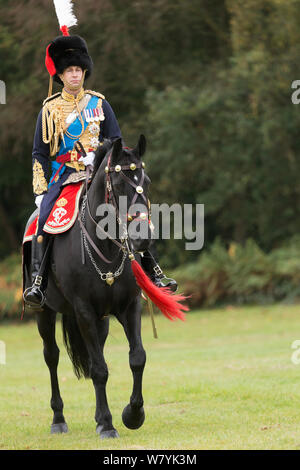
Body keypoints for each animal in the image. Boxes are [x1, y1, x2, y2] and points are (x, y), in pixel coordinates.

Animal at [22, 134, 185, 438]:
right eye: (119, 184)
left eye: (147, 181)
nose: (143, 238)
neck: (104, 245)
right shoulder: (84, 310)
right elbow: (99, 369)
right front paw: (108, 424)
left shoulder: (129, 307)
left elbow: (137, 358)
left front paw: (133, 414)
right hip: (44, 312)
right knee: (52, 357)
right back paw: (58, 418)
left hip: (102, 320)